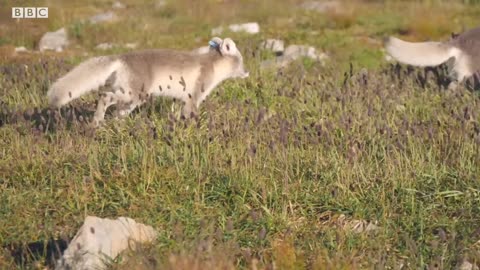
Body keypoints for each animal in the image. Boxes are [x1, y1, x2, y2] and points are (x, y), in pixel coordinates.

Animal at [47, 37, 249, 125]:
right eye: (241, 60)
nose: (247, 72)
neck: (212, 64)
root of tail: (120, 58)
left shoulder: (180, 98)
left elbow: (176, 113)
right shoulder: (194, 95)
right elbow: (190, 115)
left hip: (131, 99)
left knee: (117, 113)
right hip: (134, 95)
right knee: (105, 96)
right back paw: (97, 121)